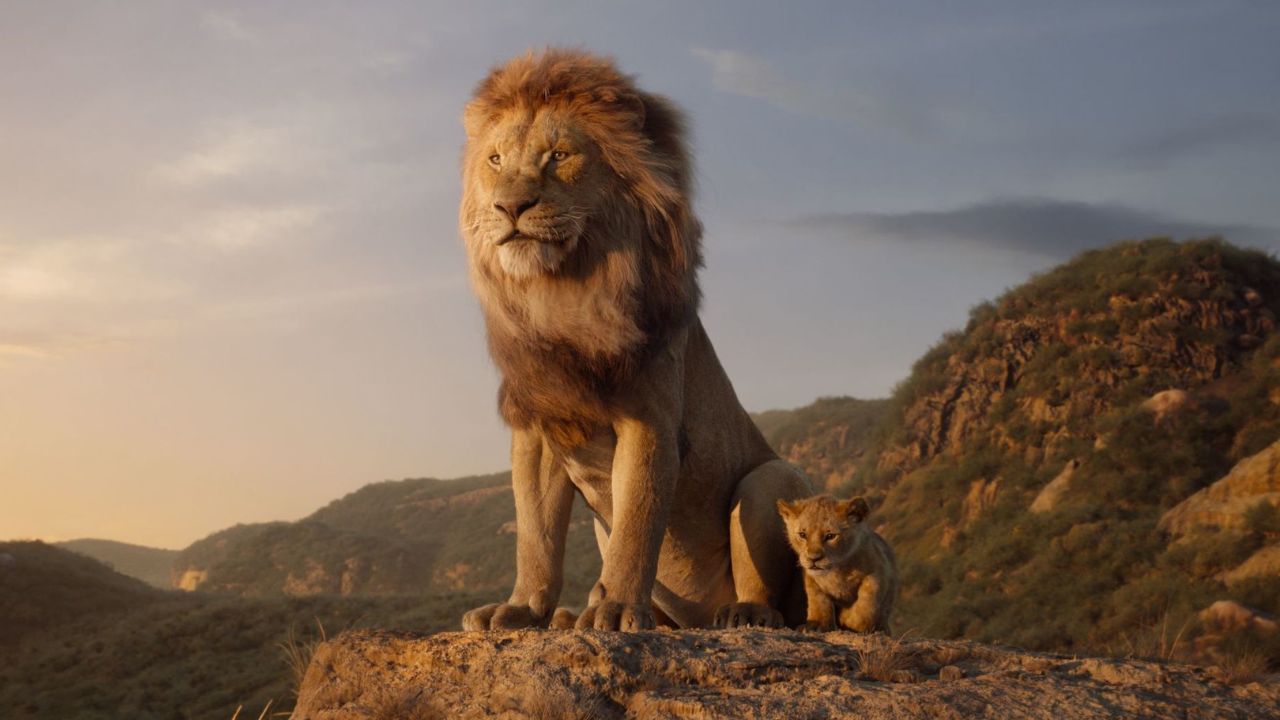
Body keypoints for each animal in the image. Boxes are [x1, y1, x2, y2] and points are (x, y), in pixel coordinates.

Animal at [457, 49, 813, 632]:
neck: (562, 294)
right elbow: (536, 535)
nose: (510, 207)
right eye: (495, 160)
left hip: (771, 479)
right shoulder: (538, 428)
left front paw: (618, 608)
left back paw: (742, 613)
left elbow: (637, 524)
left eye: (559, 155)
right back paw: (570, 616)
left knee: (773, 596)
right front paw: (522, 608)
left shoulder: (650, 421)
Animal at [776, 495, 898, 633]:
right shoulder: (811, 579)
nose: (813, 558)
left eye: (830, 536)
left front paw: (849, 619)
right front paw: (817, 624)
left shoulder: (878, 571)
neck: (837, 569)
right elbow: (818, 600)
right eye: (802, 535)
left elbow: (867, 601)